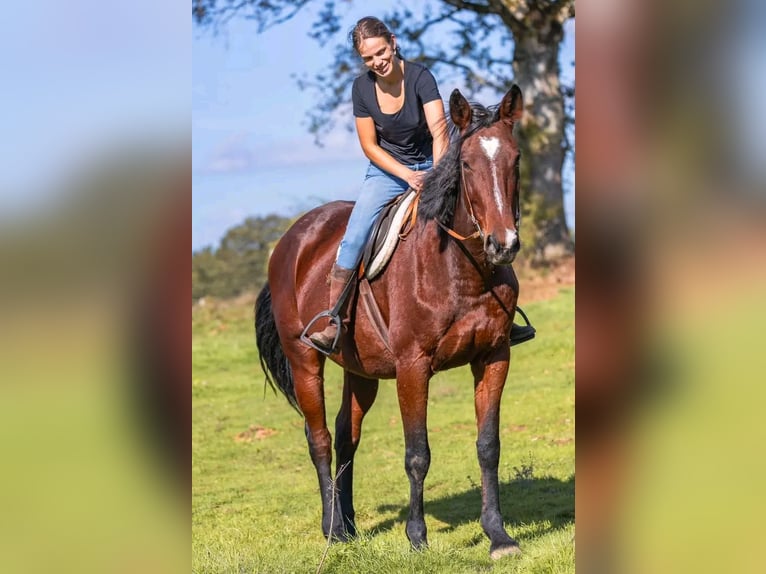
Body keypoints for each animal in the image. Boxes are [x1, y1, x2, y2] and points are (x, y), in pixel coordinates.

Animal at [258, 86, 528, 564]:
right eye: (466, 164)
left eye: (514, 160)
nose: (503, 244)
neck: (462, 269)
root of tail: (291, 239)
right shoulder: (413, 367)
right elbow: (417, 453)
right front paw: (417, 538)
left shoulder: (494, 356)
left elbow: (488, 446)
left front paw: (498, 536)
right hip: (305, 361)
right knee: (319, 438)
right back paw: (332, 529)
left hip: (361, 371)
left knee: (345, 436)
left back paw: (348, 526)